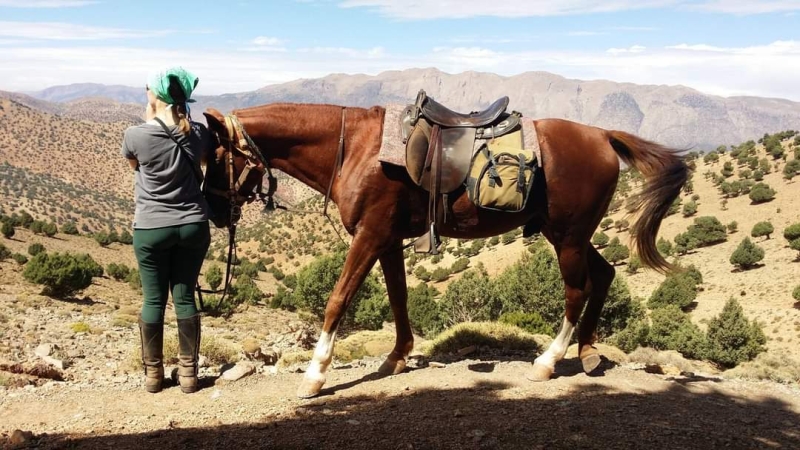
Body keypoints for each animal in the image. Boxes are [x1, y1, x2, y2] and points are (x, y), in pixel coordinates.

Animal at [200, 103, 688, 398]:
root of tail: (603, 136)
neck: (355, 147)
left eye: (216, 158)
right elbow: (398, 297)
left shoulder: (369, 236)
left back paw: (548, 363)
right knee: (604, 276)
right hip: (573, 235)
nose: (214, 214)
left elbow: (338, 299)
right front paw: (397, 357)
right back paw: (587, 353)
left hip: (567, 236)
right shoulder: (387, 239)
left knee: (576, 290)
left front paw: (315, 374)